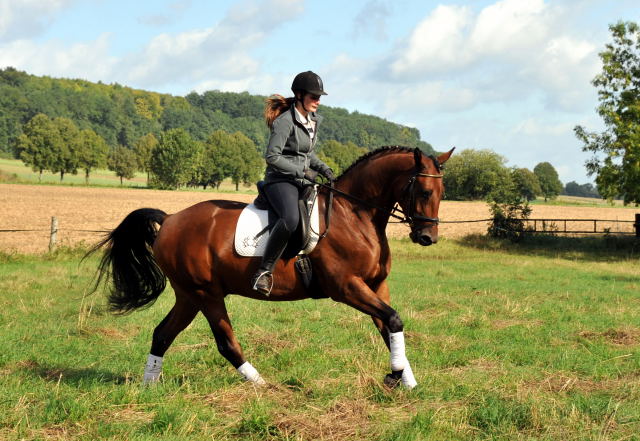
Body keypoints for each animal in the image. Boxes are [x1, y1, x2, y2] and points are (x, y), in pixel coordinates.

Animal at [89, 145, 456, 388]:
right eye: (425, 190)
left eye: (443, 191)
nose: (428, 237)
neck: (355, 214)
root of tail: (170, 220)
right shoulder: (347, 286)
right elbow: (391, 319)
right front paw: (397, 376)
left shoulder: (376, 285)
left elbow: (389, 325)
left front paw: (405, 378)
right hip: (206, 294)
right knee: (225, 342)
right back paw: (261, 385)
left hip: (188, 296)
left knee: (163, 334)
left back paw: (149, 387)